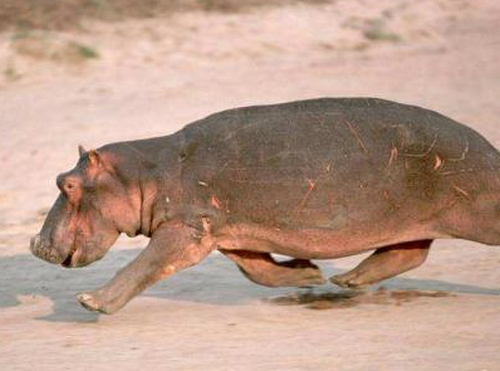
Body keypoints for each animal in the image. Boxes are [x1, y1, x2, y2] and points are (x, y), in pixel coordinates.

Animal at [29, 98, 500, 314]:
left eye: (67, 183)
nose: (38, 245)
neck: (145, 172)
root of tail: (489, 149)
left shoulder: (185, 227)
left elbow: (144, 264)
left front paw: (90, 302)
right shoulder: (224, 231)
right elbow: (256, 270)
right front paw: (308, 274)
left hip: (478, 209)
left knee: (414, 251)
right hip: (412, 217)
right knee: (409, 252)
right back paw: (346, 280)